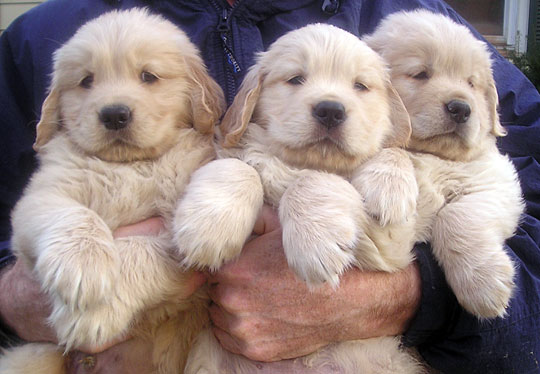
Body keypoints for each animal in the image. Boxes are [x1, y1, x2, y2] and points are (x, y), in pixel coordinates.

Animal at [0, 8, 224, 374]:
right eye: (86, 81)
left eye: (148, 76)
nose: (114, 114)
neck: (129, 165)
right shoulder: (42, 194)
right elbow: (73, 215)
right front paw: (83, 263)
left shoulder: (178, 232)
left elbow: (139, 250)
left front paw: (95, 310)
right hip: (33, 356)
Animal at [179, 23, 424, 374]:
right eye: (295, 79)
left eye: (360, 86)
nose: (331, 111)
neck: (297, 163)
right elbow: (240, 165)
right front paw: (207, 229)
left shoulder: (389, 247)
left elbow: (317, 178)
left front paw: (317, 240)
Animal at [364, 8, 524, 318]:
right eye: (420, 74)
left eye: (471, 83)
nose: (461, 108)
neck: (432, 154)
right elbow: (387, 145)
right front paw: (387, 189)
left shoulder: (495, 180)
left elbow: (457, 216)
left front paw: (483, 283)